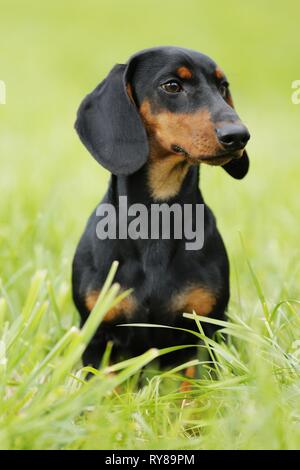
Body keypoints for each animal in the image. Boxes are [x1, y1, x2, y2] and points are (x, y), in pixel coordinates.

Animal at [71, 47, 250, 370]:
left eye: (223, 87)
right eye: (172, 86)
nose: (239, 135)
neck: (157, 218)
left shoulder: (204, 335)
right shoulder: (99, 339)